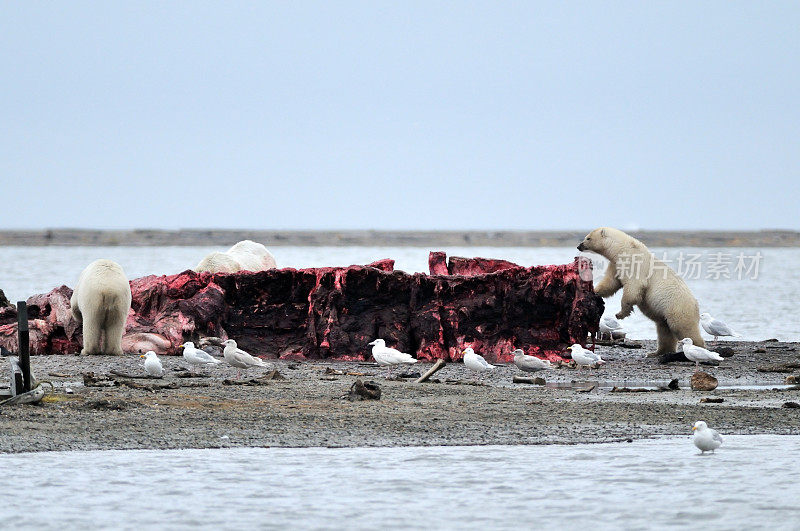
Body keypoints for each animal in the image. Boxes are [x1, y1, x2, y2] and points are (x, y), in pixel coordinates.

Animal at [580, 228, 704, 358]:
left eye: (588, 238)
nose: (579, 246)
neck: (623, 249)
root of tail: (696, 304)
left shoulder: (634, 264)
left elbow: (633, 287)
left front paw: (620, 313)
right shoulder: (616, 265)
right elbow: (611, 283)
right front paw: (594, 291)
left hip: (677, 307)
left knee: (683, 327)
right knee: (664, 329)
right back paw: (656, 352)